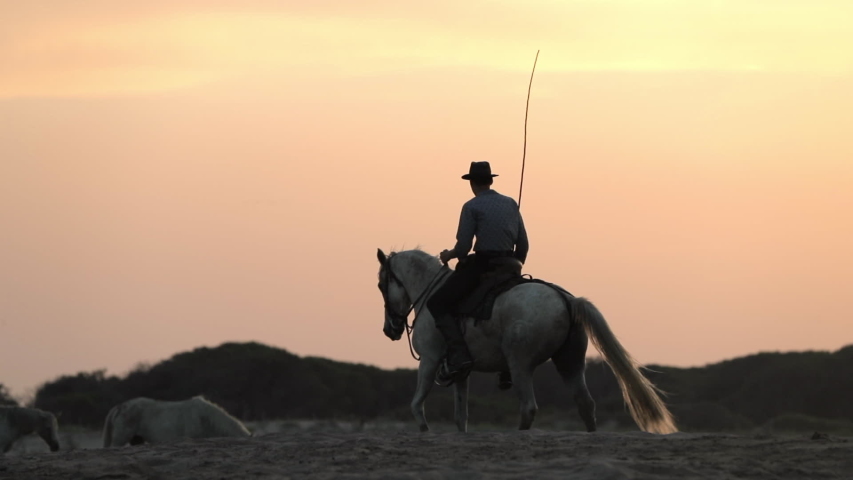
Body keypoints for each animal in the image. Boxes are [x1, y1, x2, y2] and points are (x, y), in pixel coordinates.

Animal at [376, 248, 678, 434]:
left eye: (381, 285)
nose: (390, 329)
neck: (431, 293)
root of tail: (567, 299)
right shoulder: (461, 371)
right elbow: (461, 416)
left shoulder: (428, 361)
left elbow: (417, 405)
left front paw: (424, 430)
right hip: (570, 364)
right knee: (585, 404)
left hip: (520, 365)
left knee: (529, 408)